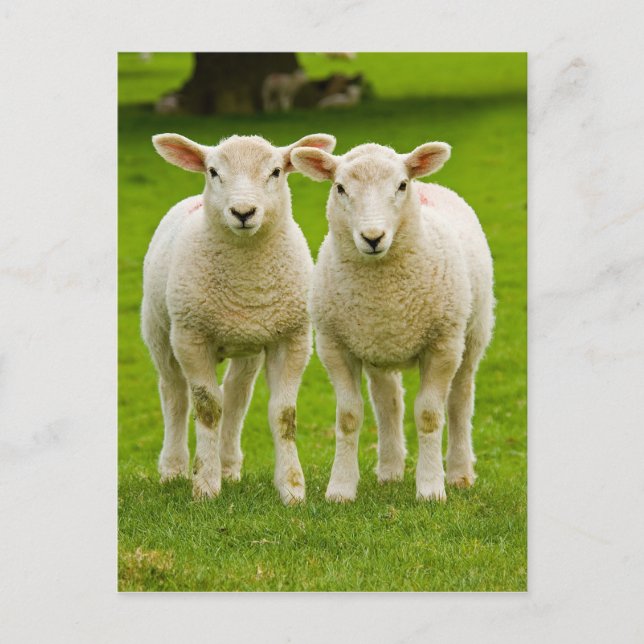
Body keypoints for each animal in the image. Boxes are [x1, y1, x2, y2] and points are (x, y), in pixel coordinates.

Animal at [141, 132, 336, 505]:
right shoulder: (191, 337)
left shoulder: (292, 338)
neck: (247, 280)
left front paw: (292, 488)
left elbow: (283, 414)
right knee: (174, 394)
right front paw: (205, 485)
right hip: (159, 331)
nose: (243, 212)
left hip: (248, 343)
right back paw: (173, 468)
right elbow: (206, 409)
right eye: (213, 171)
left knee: (235, 395)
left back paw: (229, 465)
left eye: (276, 171)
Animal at [291, 141, 495, 503]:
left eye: (401, 185)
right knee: (388, 403)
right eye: (340, 187)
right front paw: (341, 488)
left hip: (472, 334)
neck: (384, 294)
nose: (373, 237)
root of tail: (431, 185)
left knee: (459, 401)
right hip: (377, 346)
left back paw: (459, 472)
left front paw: (430, 488)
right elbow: (349, 416)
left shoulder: (442, 345)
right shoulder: (334, 345)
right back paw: (389, 470)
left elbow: (429, 415)